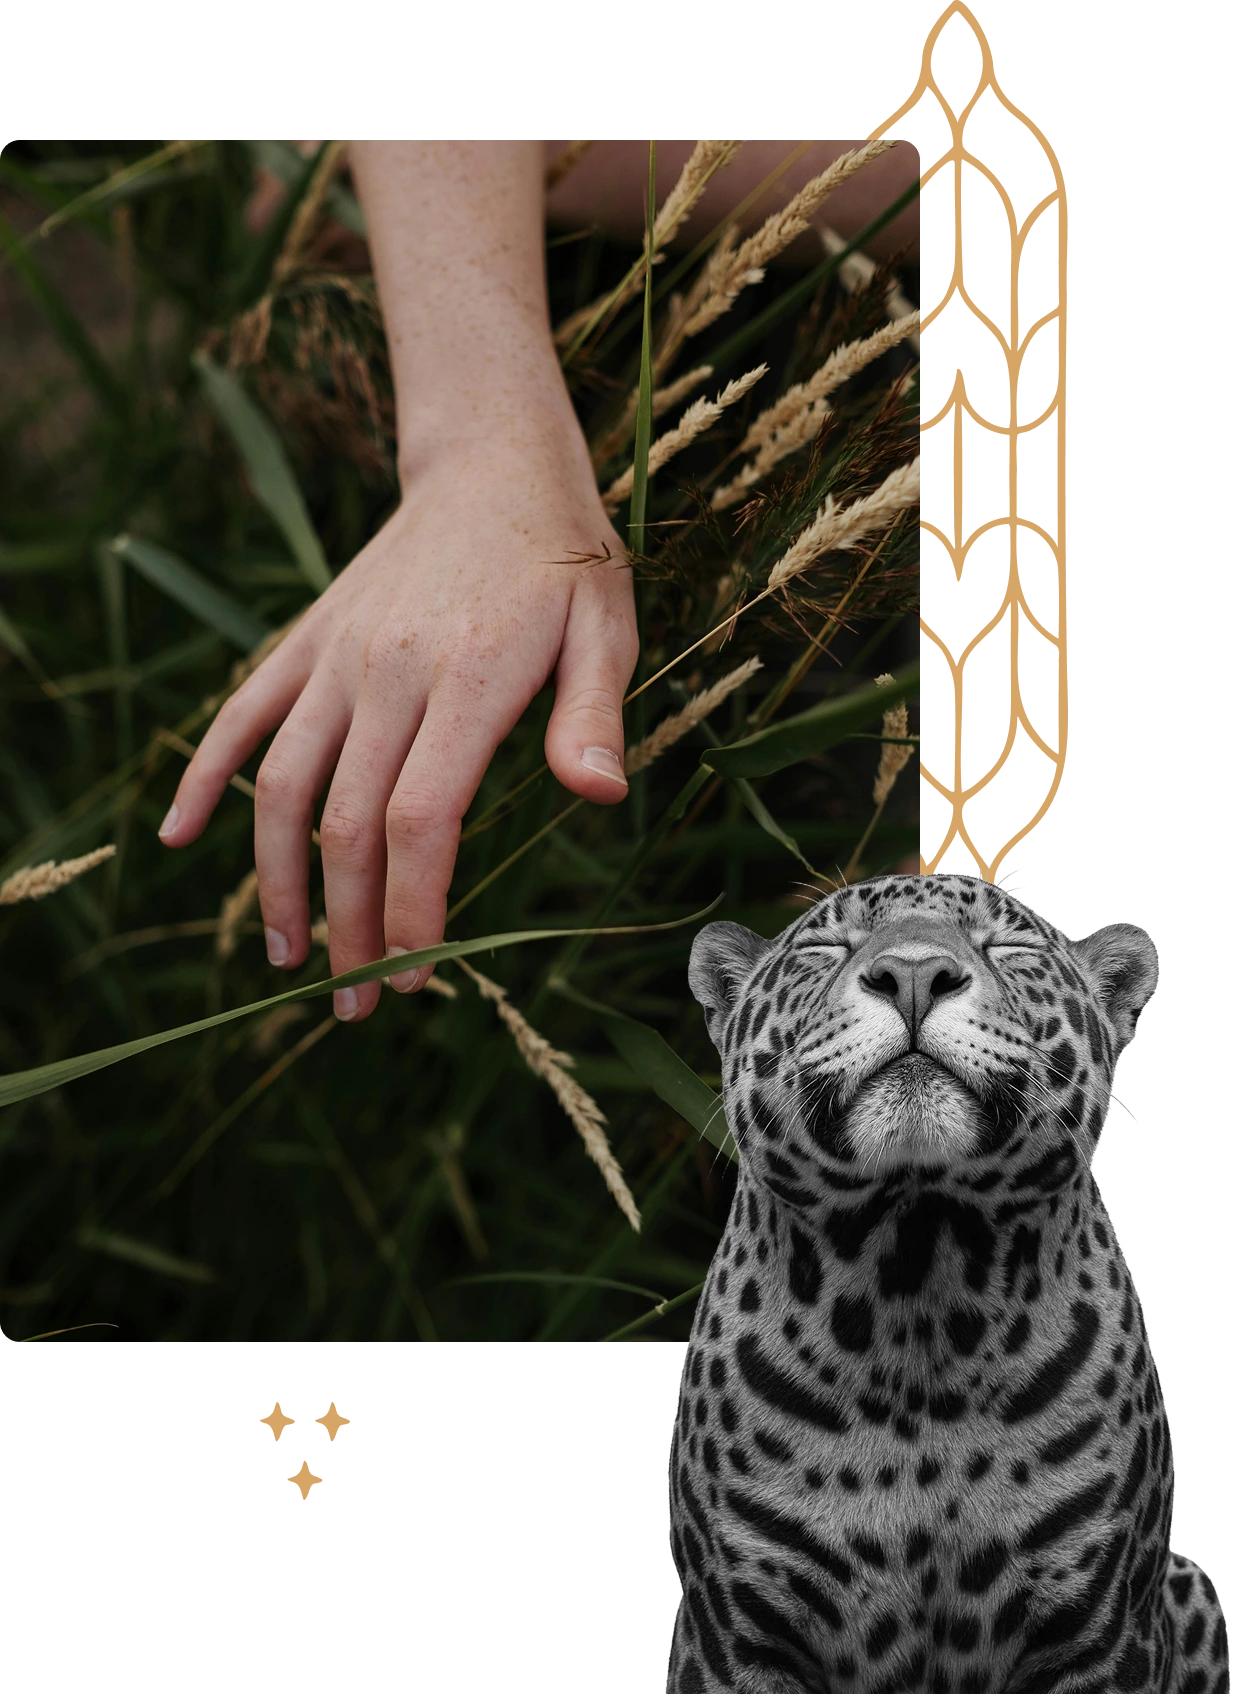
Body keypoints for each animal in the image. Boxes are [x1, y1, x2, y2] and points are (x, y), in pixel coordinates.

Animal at [666, 872, 1230, 1694]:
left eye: (1010, 946)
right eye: (825, 946)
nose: (912, 975)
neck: (915, 1284)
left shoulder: (1102, 1631)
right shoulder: (735, 1633)